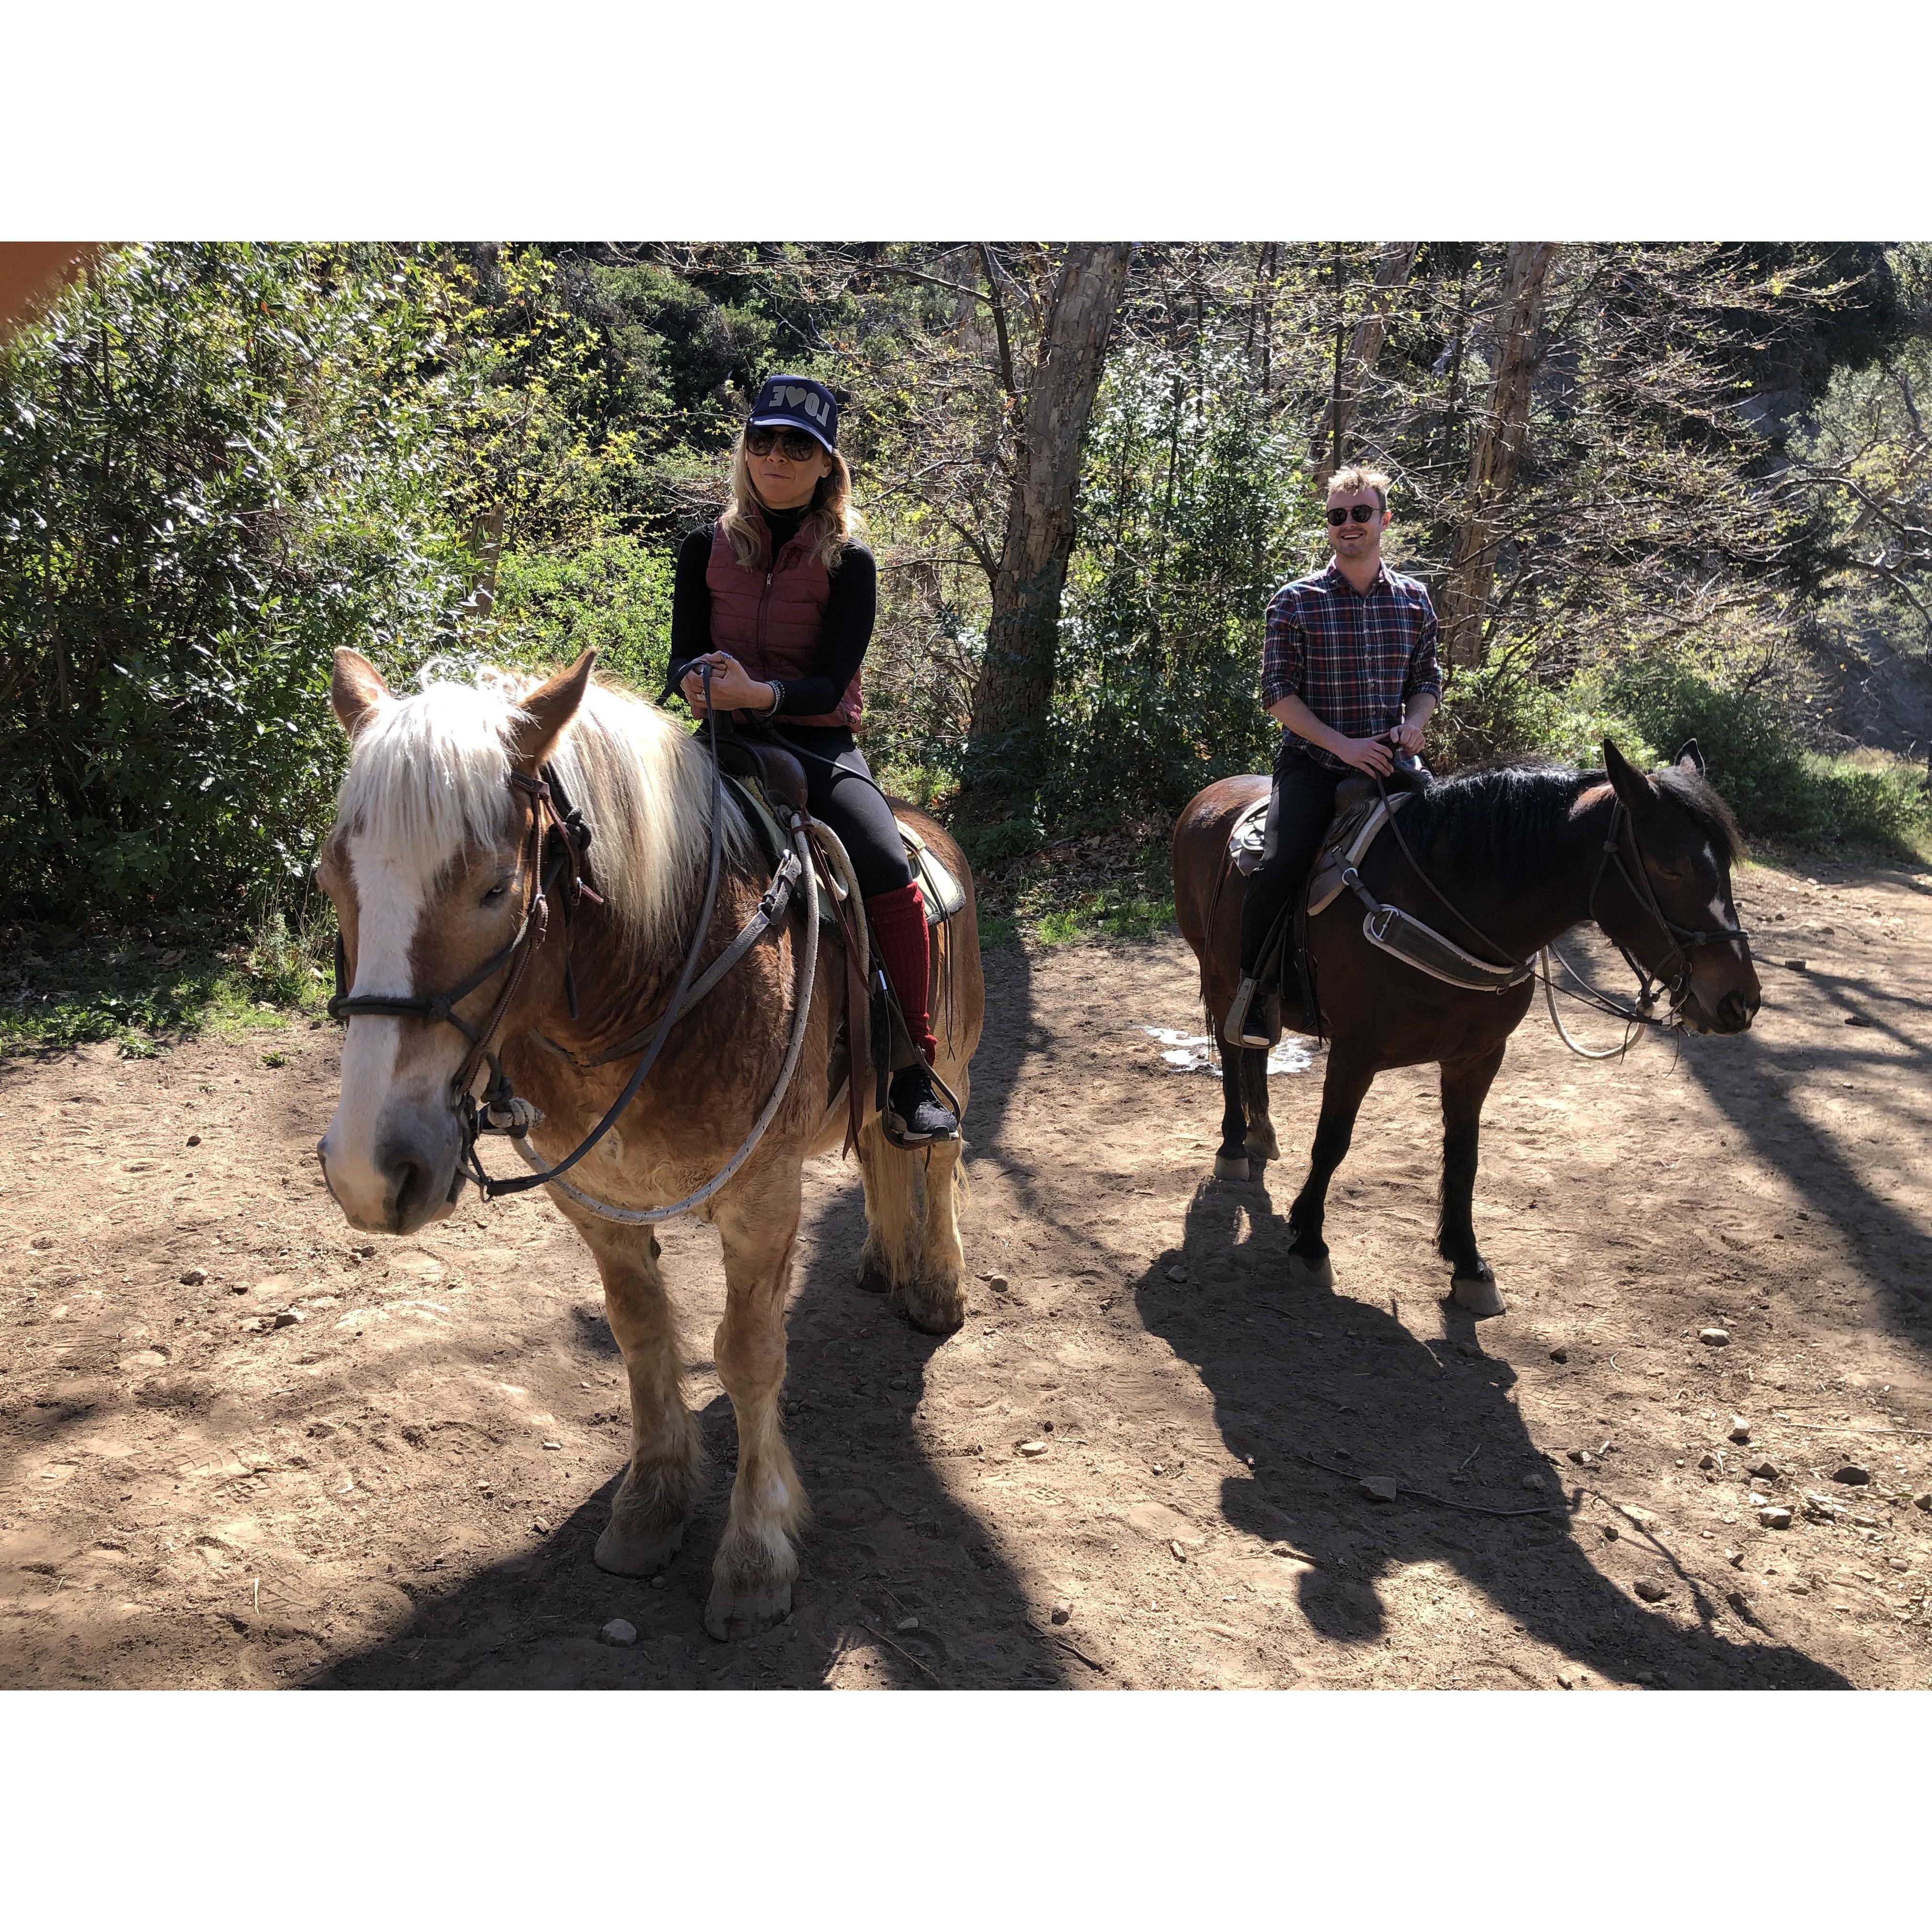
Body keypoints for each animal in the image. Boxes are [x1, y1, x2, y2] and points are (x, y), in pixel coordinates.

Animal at [319, 649, 989, 1631]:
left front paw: (754, 1554)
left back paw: (936, 1283)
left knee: (934, 1159)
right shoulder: (595, 1201)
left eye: (496, 887)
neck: (662, 982)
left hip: (954, 1063)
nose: (370, 1171)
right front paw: (650, 1506)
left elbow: (747, 1357)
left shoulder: (762, 1200)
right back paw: (881, 1257)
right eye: (333, 881)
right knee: (877, 1147)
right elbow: (641, 1336)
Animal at [1167, 738, 1762, 1313]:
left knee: (1258, 1049)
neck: (1444, 903)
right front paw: (1310, 1243)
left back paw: (1262, 1133)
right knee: (1232, 1050)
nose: (1739, 1001)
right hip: (1218, 975)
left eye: (1726, 867)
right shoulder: (1356, 1051)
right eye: (1670, 866)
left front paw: (1469, 1265)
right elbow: (1332, 1142)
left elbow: (1464, 1157)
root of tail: (1209, 796)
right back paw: (1234, 1146)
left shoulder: (1477, 1058)